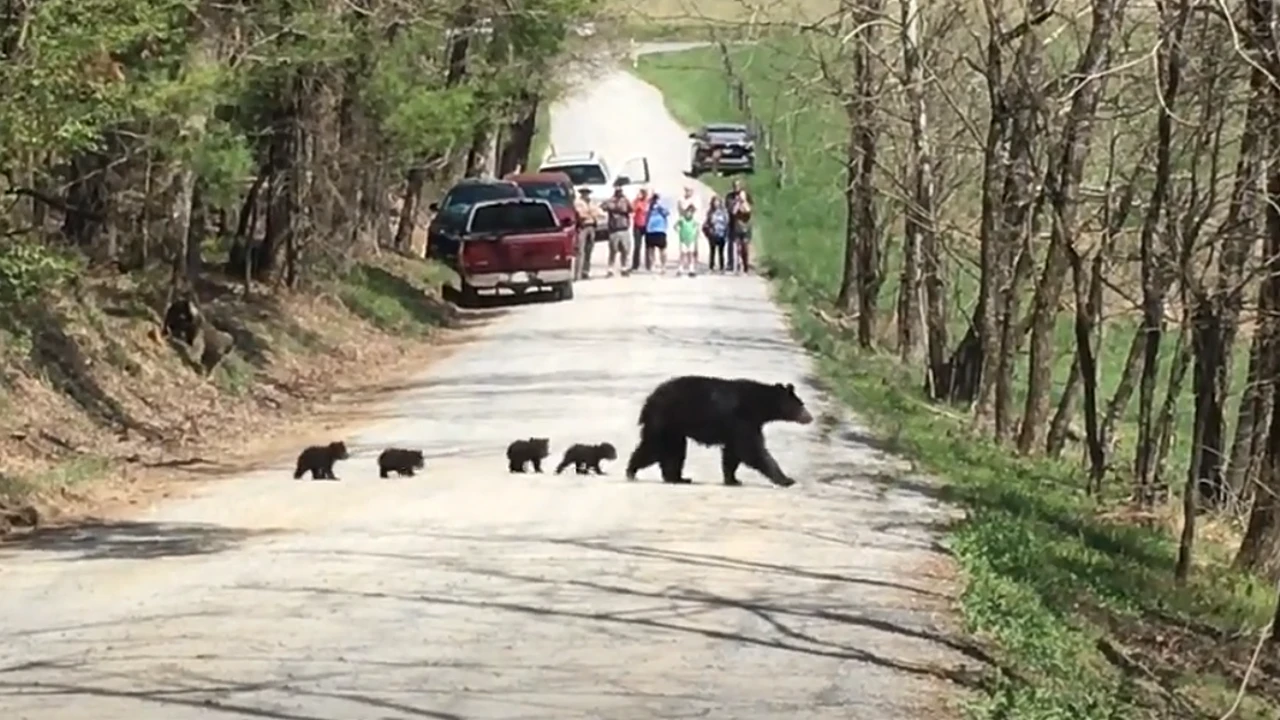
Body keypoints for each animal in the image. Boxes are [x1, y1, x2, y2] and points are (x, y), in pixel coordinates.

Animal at [624, 371, 814, 484]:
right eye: (800, 405)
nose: (810, 417)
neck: (758, 405)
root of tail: (649, 401)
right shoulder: (742, 419)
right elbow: (751, 450)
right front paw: (786, 479)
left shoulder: (742, 425)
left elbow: (732, 453)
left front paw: (733, 479)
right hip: (666, 420)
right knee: (656, 446)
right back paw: (632, 471)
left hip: (675, 427)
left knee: (674, 450)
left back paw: (677, 477)